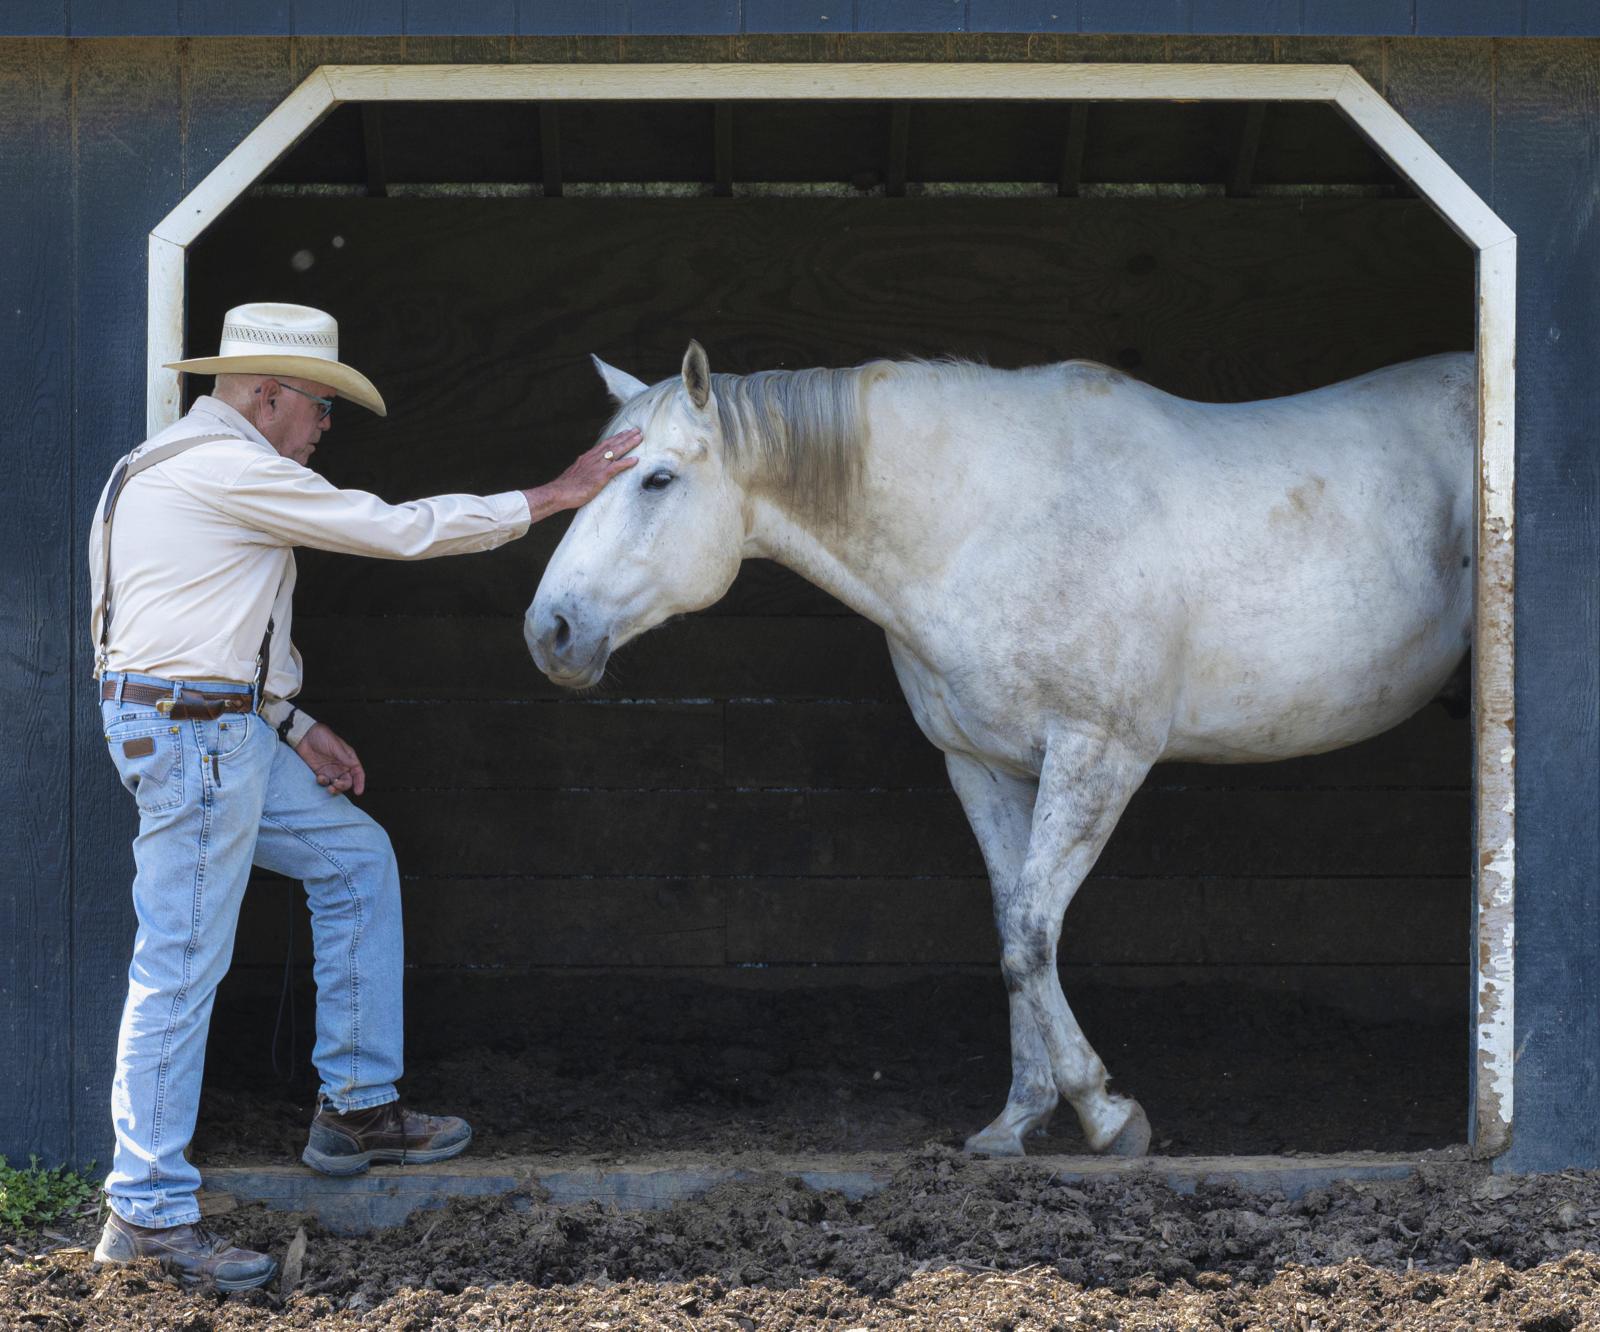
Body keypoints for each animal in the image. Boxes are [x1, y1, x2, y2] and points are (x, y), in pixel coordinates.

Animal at [528, 341, 1472, 1152]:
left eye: (658, 478)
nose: (552, 632)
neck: (990, 525)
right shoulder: (980, 765)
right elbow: (1013, 929)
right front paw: (1018, 1120)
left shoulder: (1098, 756)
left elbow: (1030, 928)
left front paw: (1106, 1115)